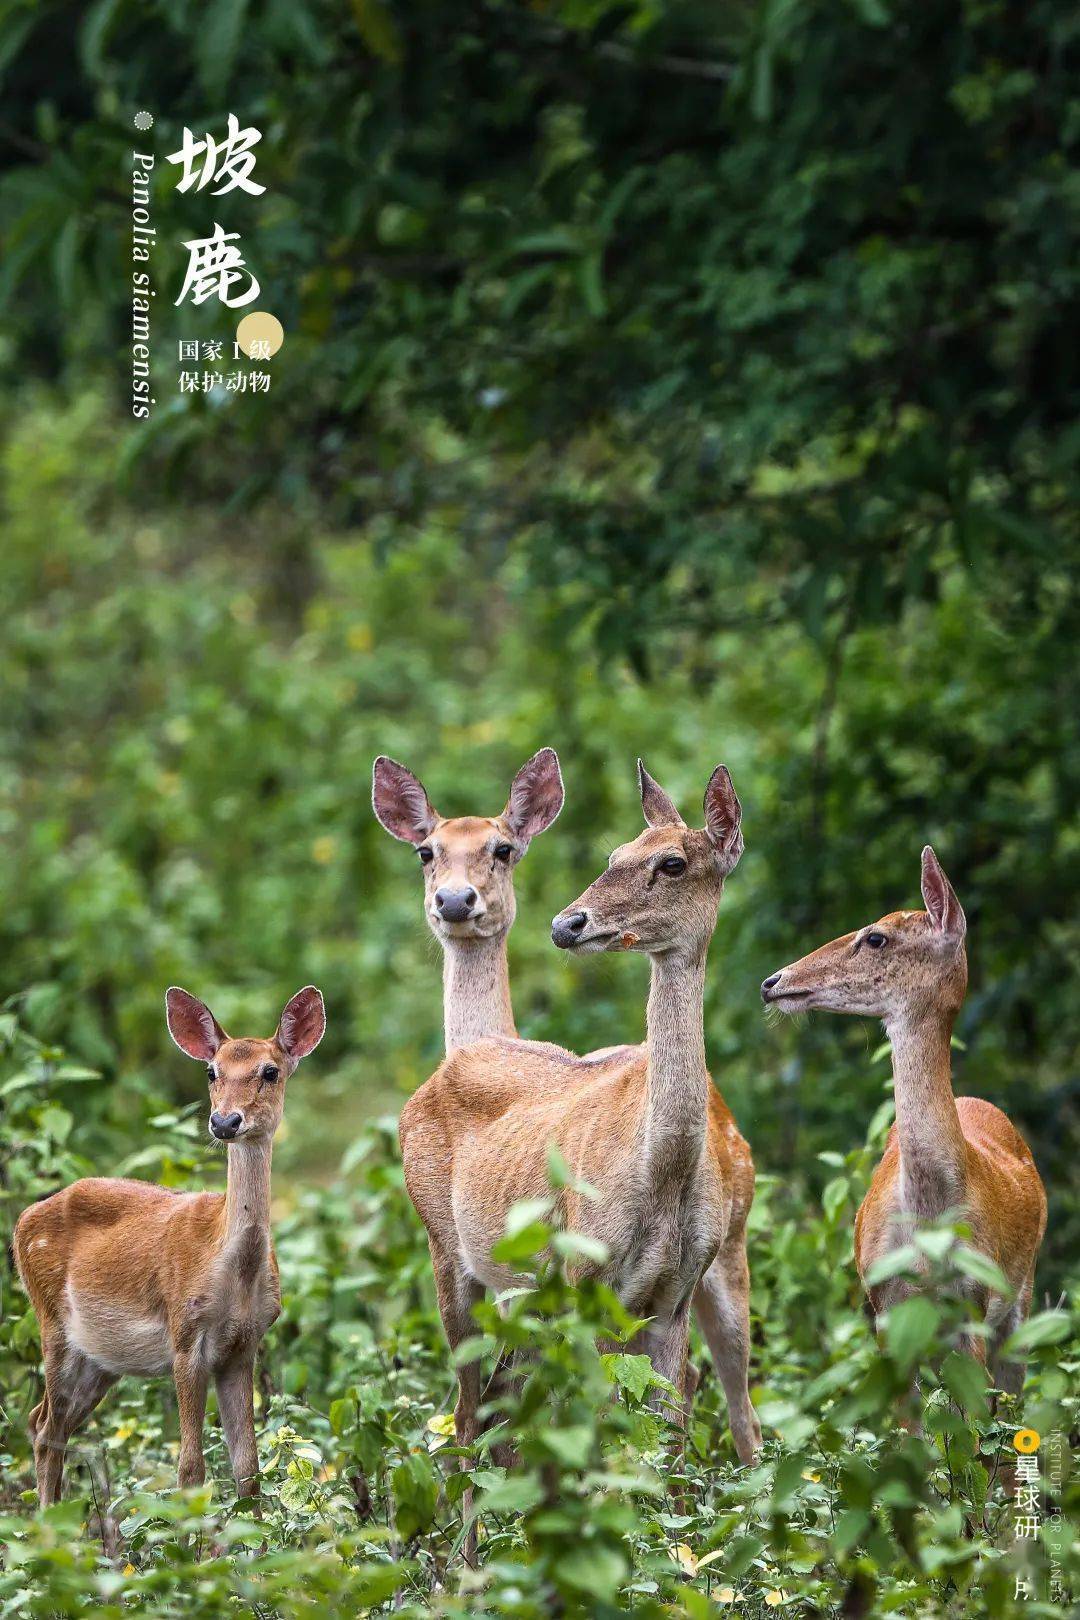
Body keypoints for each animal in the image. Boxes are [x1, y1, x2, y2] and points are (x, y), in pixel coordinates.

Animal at [13, 984, 325, 1503]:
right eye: (211, 1071)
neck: (232, 1270)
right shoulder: (185, 1335)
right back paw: (47, 1522)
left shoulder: (244, 1346)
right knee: (46, 1429)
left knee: (43, 1422)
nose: (225, 1121)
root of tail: (21, 1222)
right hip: (53, 1326)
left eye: (270, 1071)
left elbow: (248, 1468)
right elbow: (190, 1469)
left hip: (100, 1358)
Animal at [401, 764, 764, 1509]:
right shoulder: (582, 1281)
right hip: (449, 1253)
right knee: (469, 1413)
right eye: (613, 853)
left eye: (672, 861)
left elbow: (662, 1439)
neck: (661, 1171)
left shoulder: (669, 1296)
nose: (569, 923)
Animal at [761, 848, 1049, 1393]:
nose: (773, 982)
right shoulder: (883, 1304)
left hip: (1022, 1302)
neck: (929, 1219)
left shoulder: (974, 1304)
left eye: (876, 937)